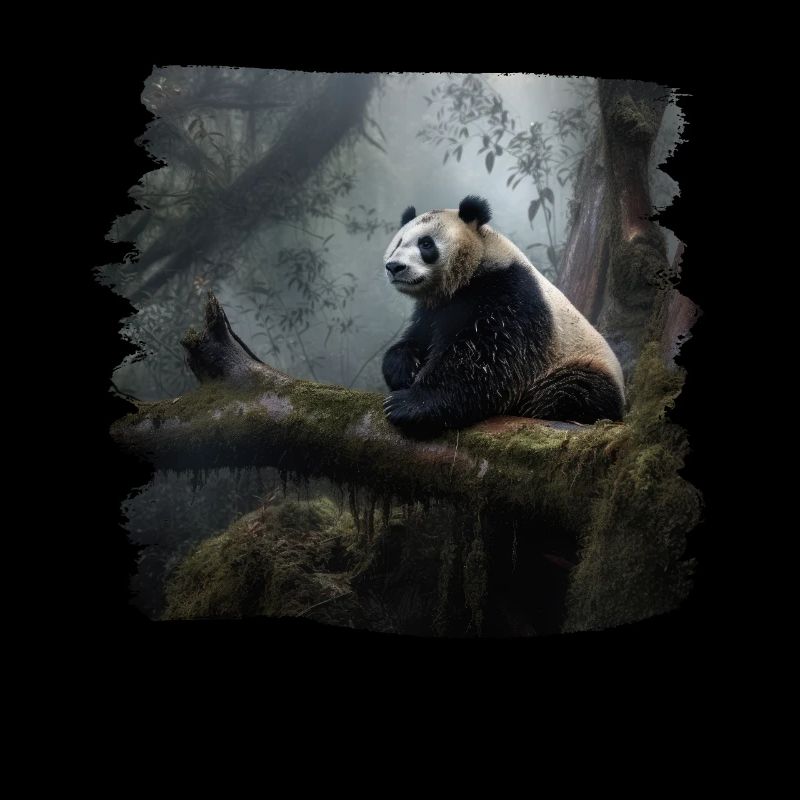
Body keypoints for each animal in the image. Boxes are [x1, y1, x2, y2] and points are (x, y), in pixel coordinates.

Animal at [381, 195, 624, 435]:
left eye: (426, 244)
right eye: (398, 243)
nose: (394, 266)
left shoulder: (509, 291)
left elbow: (485, 359)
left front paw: (407, 404)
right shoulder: (433, 310)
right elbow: (418, 337)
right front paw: (404, 368)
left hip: (575, 364)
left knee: (573, 392)